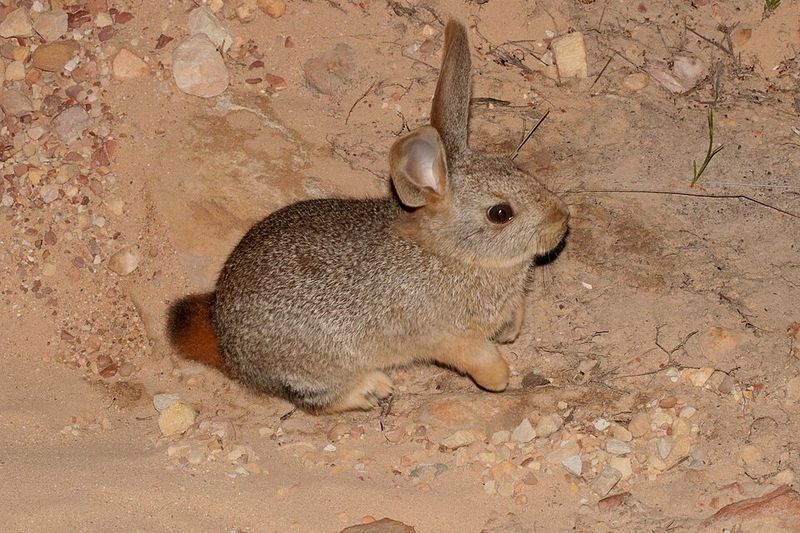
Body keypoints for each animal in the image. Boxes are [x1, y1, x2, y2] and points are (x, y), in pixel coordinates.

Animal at [167, 19, 570, 413]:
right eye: (500, 213)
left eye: (516, 168)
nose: (562, 221)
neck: (454, 254)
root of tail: (228, 348)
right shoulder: (447, 337)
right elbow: (479, 359)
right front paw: (501, 379)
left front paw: (511, 332)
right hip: (320, 365)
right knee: (318, 400)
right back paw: (373, 389)